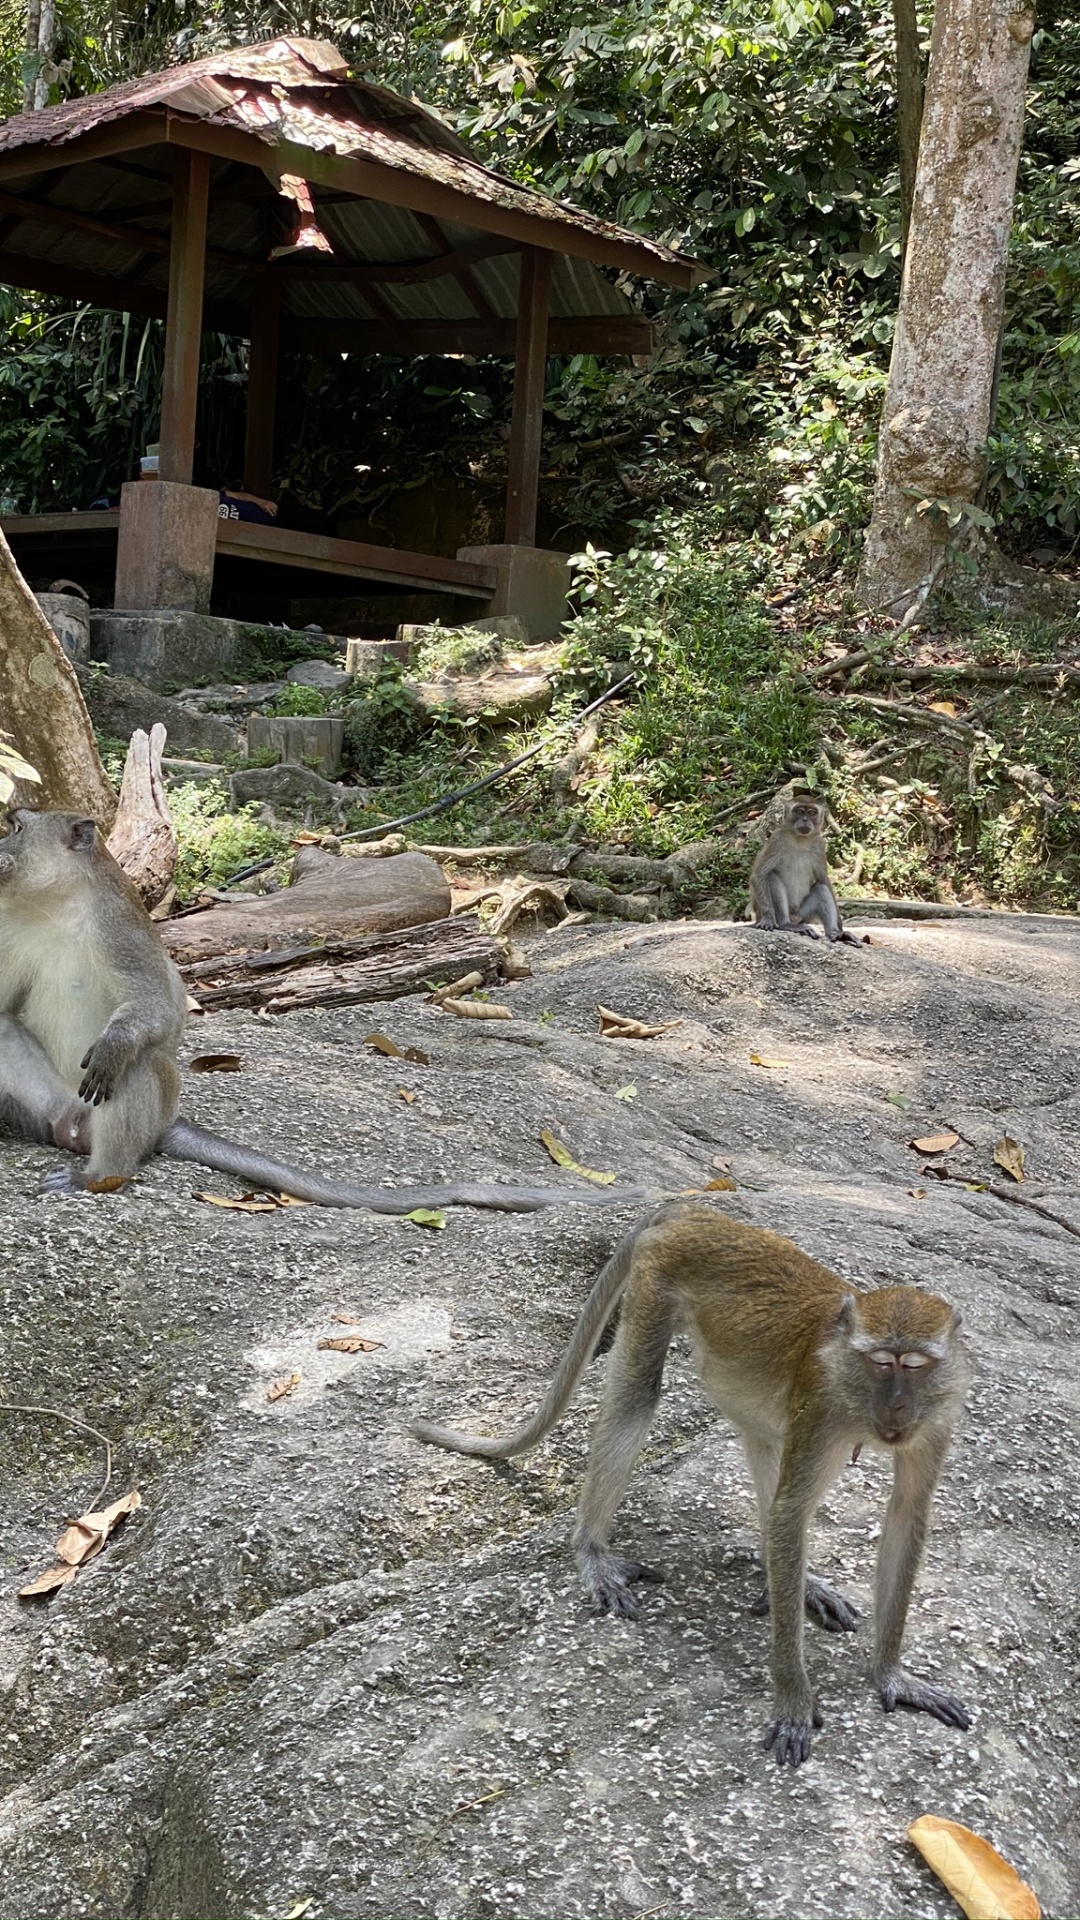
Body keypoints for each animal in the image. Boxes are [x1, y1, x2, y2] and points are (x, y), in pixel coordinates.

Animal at [0, 809, 648, 1215]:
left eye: (15, 825)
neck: (56, 904)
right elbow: (4, 1006)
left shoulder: (121, 932)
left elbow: (159, 1010)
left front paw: (118, 1044)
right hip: (57, 1106)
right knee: (10, 1039)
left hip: (133, 1111)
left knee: (136, 1066)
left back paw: (100, 1175)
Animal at [412, 1200, 971, 1767]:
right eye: (881, 1363)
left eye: (915, 1366)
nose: (896, 1407)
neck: (857, 1395)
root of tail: (701, 1211)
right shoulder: (823, 1405)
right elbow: (791, 1511)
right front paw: (793, 1698)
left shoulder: (935, 1420)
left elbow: (905, 1515)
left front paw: (891, 1674)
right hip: (655, 1283)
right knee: (637, 1398)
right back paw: (591, 1548)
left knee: (762, 1437)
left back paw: (789, 1574)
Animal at [750, 793, 860, 944]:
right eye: (800, 811)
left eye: (812, 812)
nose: (805, 819)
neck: (800, 839)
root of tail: (794, 917)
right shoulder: (777, 838)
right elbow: (760, 874)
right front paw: (768, 918)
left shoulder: (819, 845)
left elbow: (824, 881)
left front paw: (840, 928)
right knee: (771, 876)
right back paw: (785, 924)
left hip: (803, 915)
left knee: (821, 888)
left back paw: (835, 933)